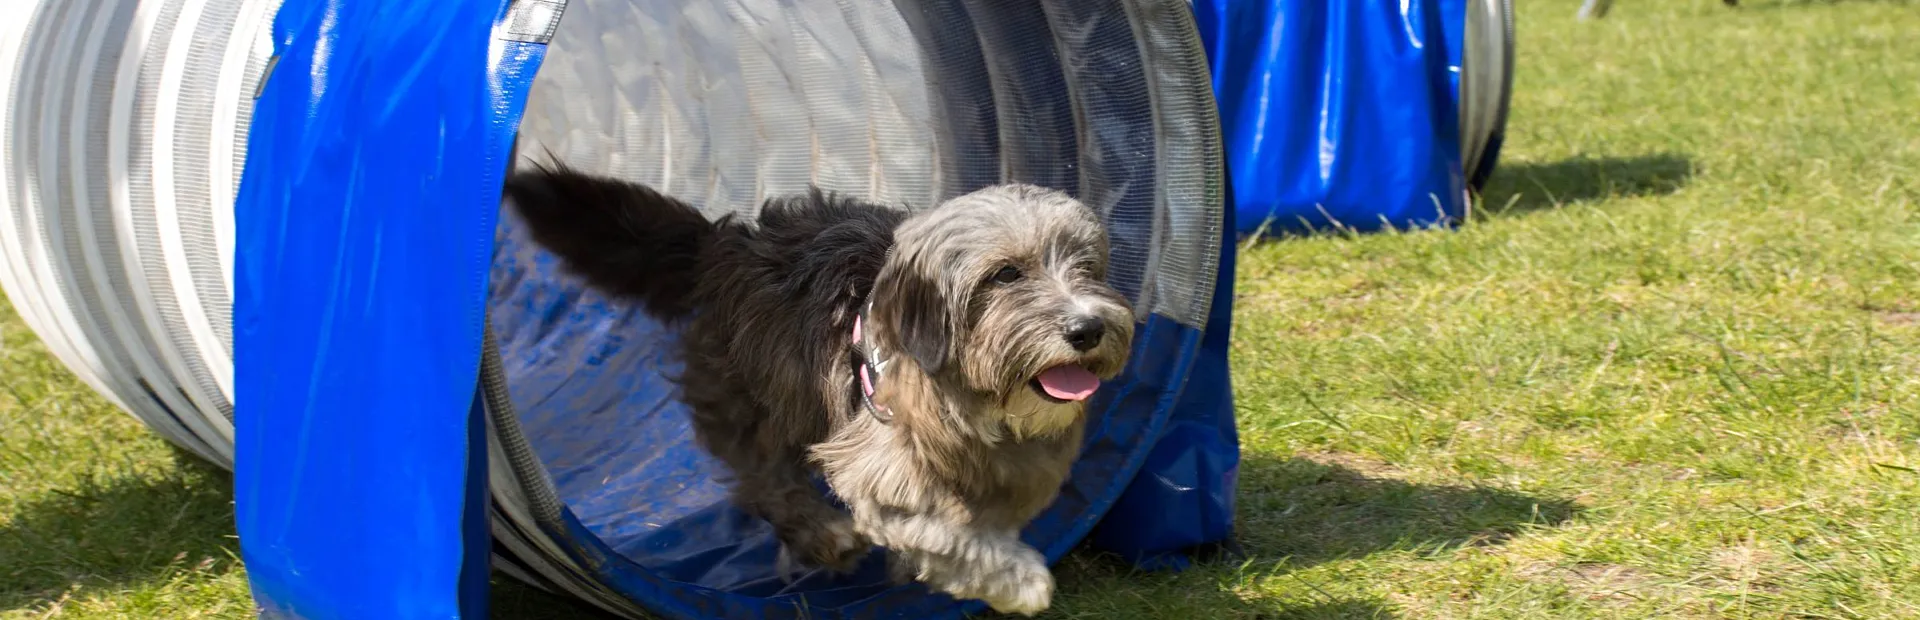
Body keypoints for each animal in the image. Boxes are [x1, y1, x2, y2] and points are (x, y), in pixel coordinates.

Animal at [506, 165, 1136, 618]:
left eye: (1086, 267)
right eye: (1006, 274)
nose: (1088, 329)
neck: (974, 403)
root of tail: (726, 243)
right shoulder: (880, 472)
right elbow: (948, 532)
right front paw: (1015, 579)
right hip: (753, 402)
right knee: (764, 482)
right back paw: (823, 533)